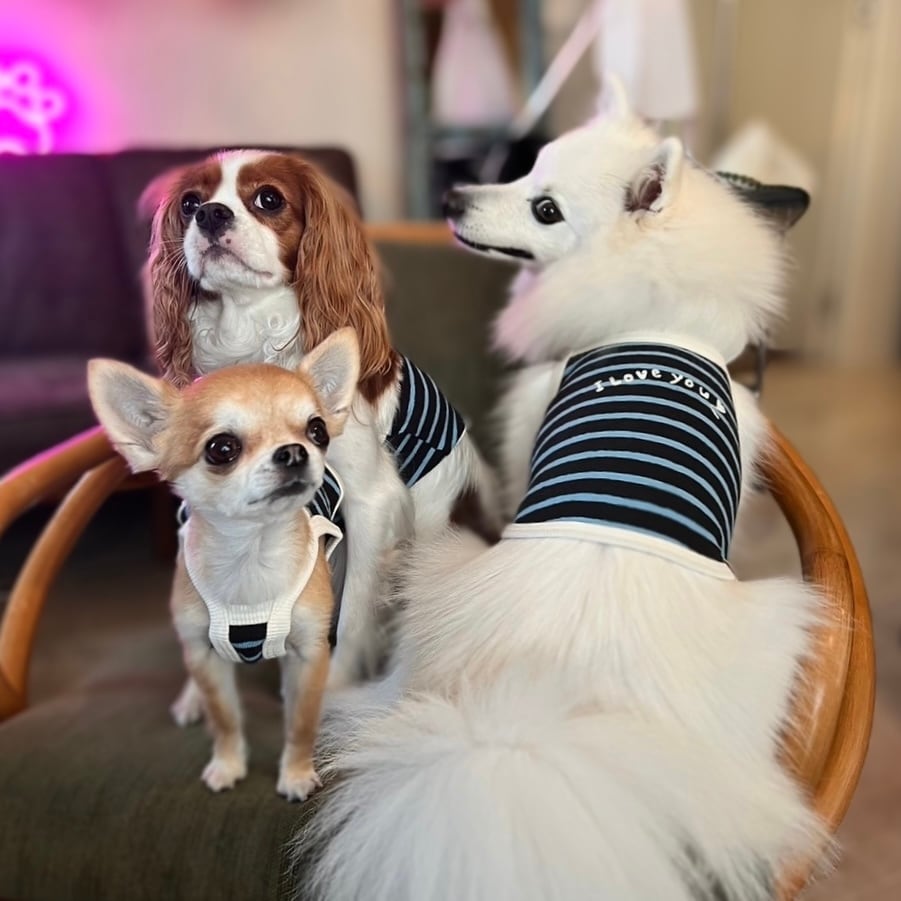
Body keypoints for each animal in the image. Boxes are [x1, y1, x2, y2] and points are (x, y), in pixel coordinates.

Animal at [88, 328, 359, 799]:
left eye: (317, 430)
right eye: (222, 449)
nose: (294, 451)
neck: (251, 555)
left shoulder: (311, 652)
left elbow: (301, 722)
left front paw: (296, 773)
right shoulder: (205, 655)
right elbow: (226, 717)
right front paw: (228, 764)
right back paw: (190, 699)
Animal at [143, 149, 498, 689]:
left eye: (269, 199)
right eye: (189, 203)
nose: (210, 214)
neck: (251, 327)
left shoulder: (371, 502)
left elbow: (351, 617)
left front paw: (335, 690)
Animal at [304, 87, 829, 899]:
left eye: (545, 209)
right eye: (525, 171)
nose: (452, 197)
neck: (656, 315)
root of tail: (557, 699)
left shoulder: (530, 420)